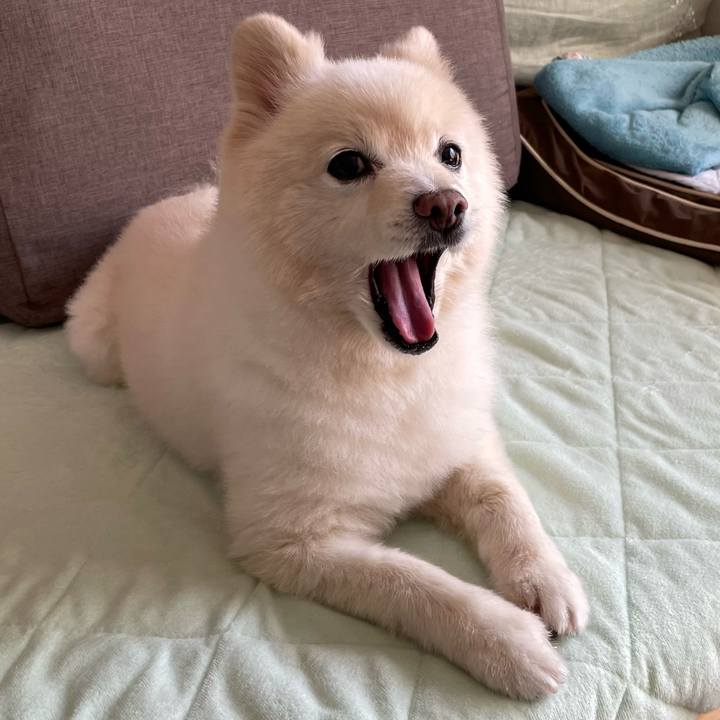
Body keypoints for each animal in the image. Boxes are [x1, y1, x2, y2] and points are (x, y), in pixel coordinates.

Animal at [66, 14, 588, 699]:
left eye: (450, 154)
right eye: (349, 164)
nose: (447, 203)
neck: (383, 371)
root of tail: (157, 205)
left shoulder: (460, 444)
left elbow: (507, 503)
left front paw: (545, 578)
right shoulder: (291, 543)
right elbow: (416, 583)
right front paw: (508, 641)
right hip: (95, 349)